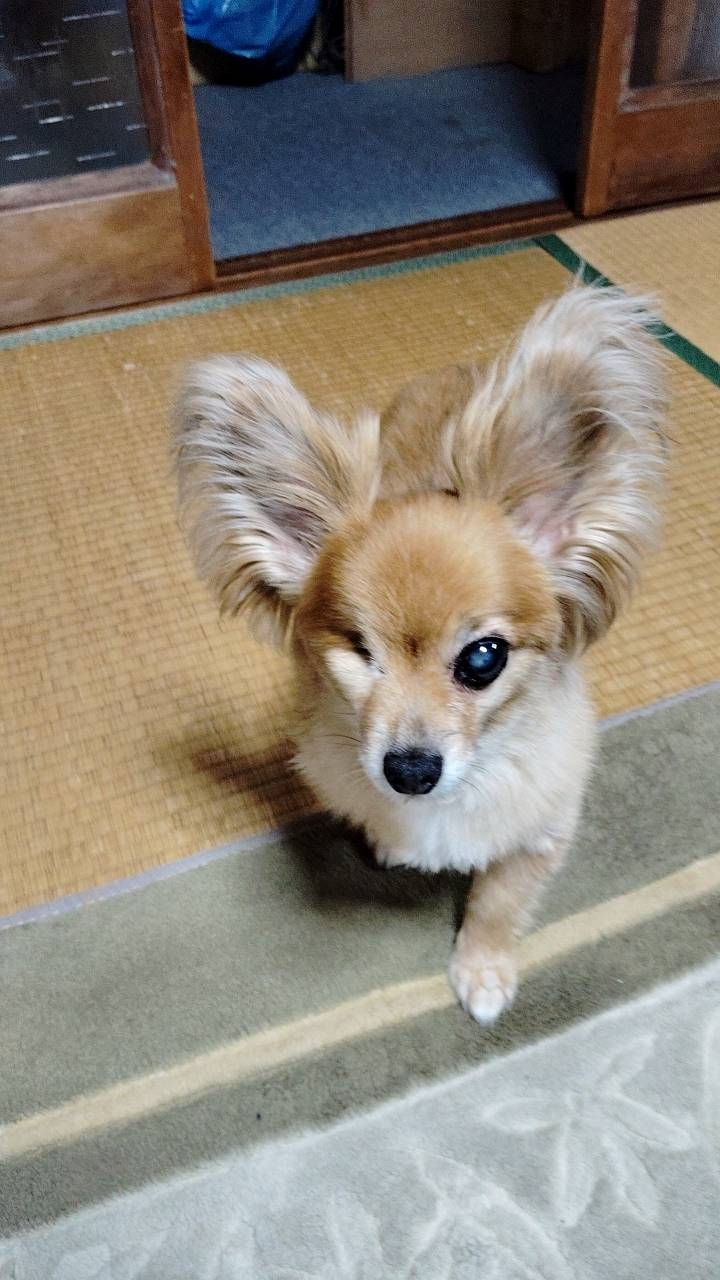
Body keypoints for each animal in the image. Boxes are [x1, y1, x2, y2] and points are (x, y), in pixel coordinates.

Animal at [174, 286, 666, 1025]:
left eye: (483, 658)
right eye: (357, 652)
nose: (409, 769)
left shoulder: (539, 834)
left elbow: (498, 904)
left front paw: (483, 970)